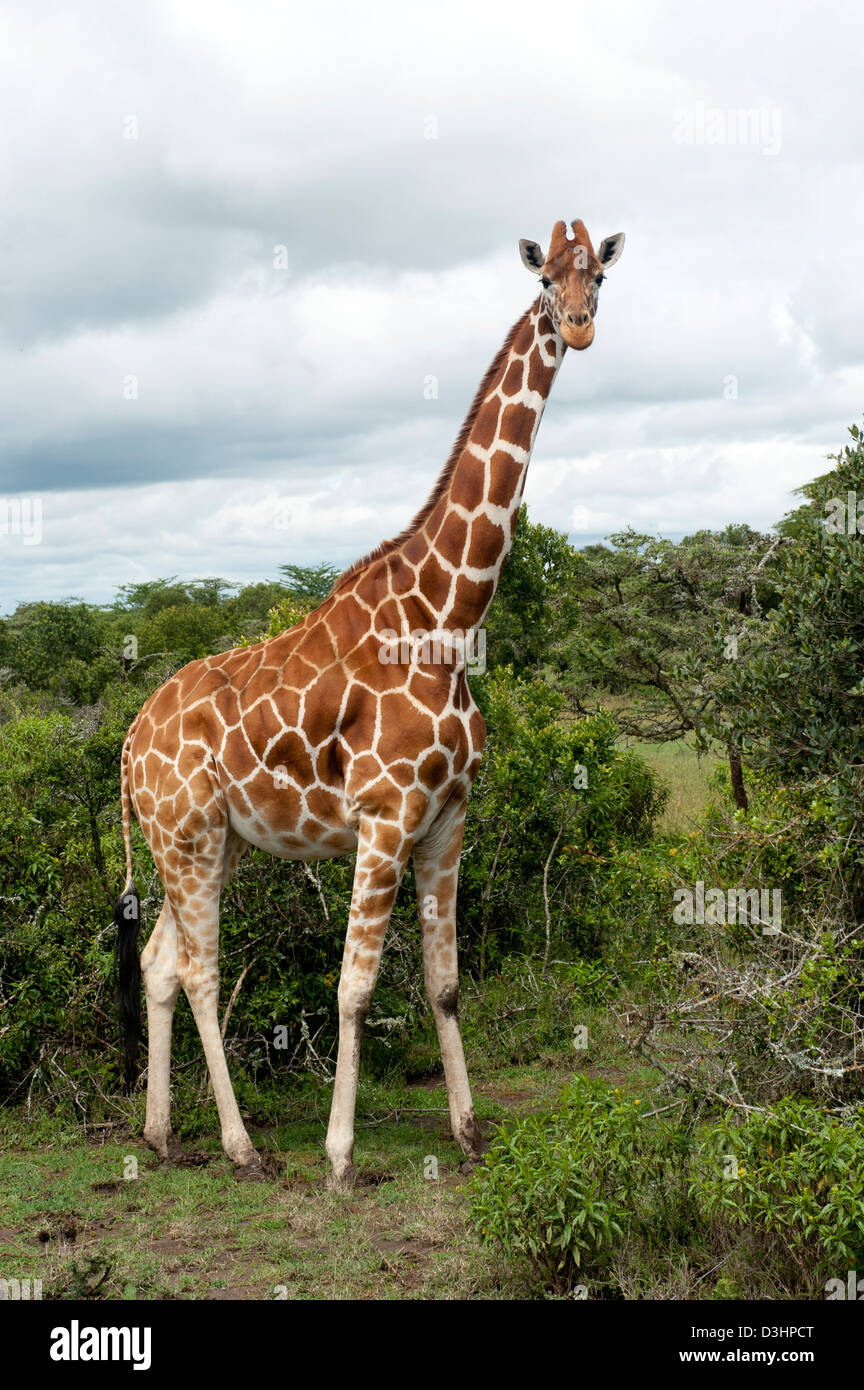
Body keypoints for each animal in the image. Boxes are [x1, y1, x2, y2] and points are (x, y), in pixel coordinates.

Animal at [115, 214, 625, 1184]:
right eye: (545, 279)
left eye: (601, 277)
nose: (579, 328)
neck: (448, 620)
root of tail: (124, 747)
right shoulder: (385, 818)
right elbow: (353, 989)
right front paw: (341, 1154)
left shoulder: (449, 818)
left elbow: (445, 983)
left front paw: (469, 1132)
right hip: (186, 836)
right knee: (199, 971)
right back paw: (242, 1147)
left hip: (207, 841)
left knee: (161, 963)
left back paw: (161, 1135)